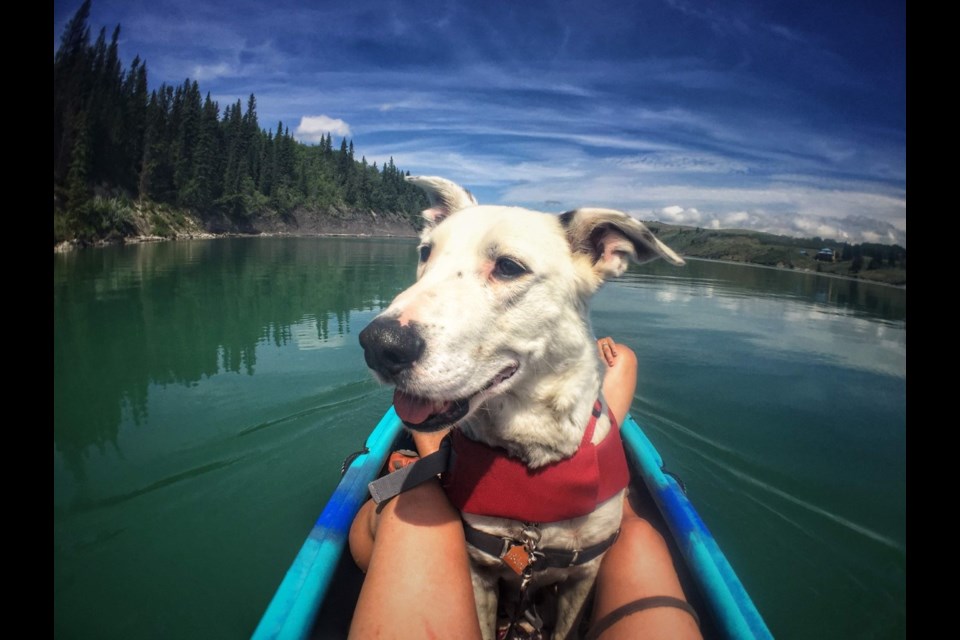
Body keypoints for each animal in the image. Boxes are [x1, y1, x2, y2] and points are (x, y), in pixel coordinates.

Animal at [358, 176, 684, 640]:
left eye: (509, 267)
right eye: (425, 253)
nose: (379, 345)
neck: (531, 452)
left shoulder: (582, 577)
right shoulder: (480, 570)